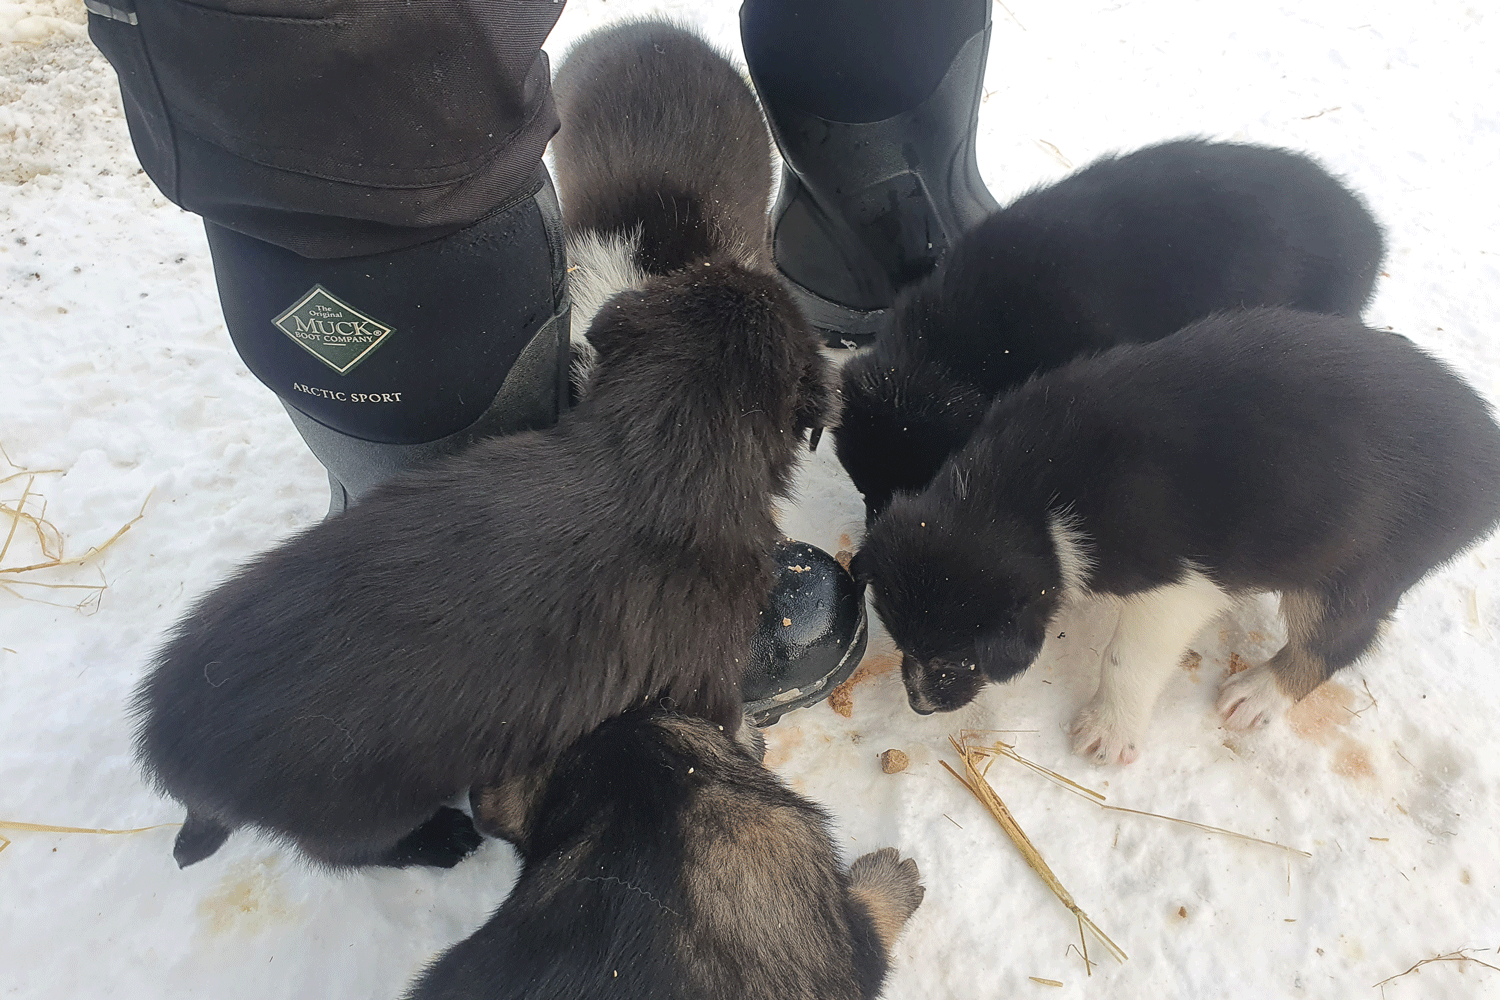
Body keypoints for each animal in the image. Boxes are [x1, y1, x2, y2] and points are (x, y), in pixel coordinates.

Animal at [130, 17, 840, 869]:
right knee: (349, 849)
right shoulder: (702, 672)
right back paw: (443, 840)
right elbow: (727, 727)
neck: (662, 446)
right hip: (357, 806)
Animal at [858, 313, 1500, 767]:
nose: (917, 705)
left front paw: (1107, 731)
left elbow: (1126, 659)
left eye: (950, 661)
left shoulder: (1175, 589)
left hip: (1353, 567)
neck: (1024, 495)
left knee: (1337, 640)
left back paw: (1258, 693)